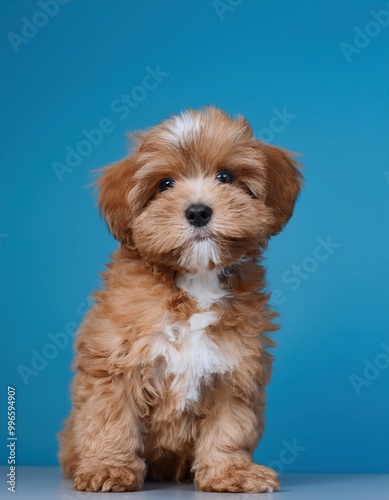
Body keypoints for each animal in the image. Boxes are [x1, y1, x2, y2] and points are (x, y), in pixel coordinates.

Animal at [58, 106, 304, 492]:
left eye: (225, 177)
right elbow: (110, 418)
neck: (195, 279)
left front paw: (229, 472)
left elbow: (230, 426)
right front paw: (109, 468)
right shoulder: (114, 361)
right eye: (165, 185)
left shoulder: (235, 367)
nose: (199, 211)